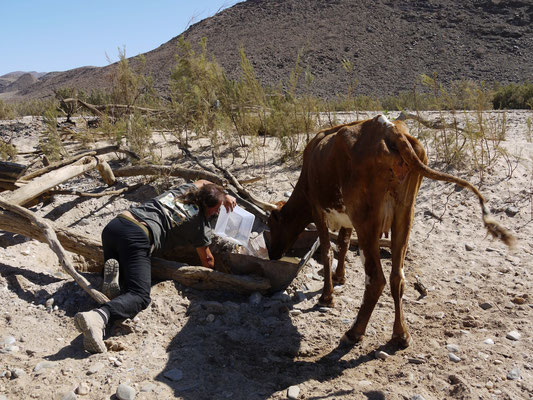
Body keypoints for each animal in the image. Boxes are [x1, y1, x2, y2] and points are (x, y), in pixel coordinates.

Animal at [268, 113, 512, 346]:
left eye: (271, 227)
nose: (272, 255)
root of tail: (389, 127)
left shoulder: (318, 210)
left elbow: (328, 251)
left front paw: (327, 296)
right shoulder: (346, 218)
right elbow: (343, 245)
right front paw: (340, 277)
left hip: (366, 219)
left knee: (376, 279)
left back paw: (354, 332)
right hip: (405, 214)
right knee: (397, 276)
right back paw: (400, 334)